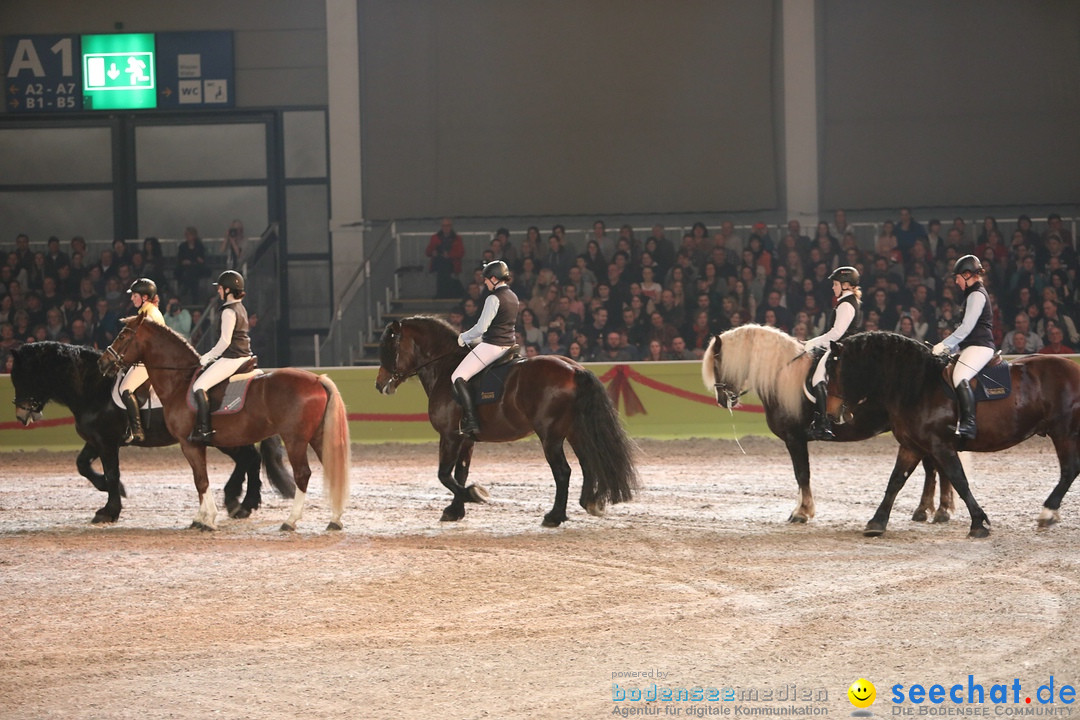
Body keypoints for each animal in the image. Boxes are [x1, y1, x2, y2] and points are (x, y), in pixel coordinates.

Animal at [10, 343, 295, 524]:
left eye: (22, 376)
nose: (21, 414)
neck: (93, 387)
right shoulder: (97, 441)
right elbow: (82, 465)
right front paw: (110, 490)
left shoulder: (106, 443)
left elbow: (112, 472)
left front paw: (109, 510)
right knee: (248, 459)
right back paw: (240, 501)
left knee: (249, 458)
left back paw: (240, 501)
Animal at [99, 317, 347, 533]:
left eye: (123, 335)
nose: (103, 362)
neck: (180, 382)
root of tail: (317, 379)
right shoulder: (197, 445)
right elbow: (200, 479)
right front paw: (200, 518)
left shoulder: (189, 444)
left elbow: (201, 480)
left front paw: (208, 519)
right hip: (317, 436)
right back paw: (334, 519)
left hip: (295, 439)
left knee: (302, 474)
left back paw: (290, 520)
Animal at [375, 317, 635, 526]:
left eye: (390, 347)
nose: (379, 384)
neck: (444, 368)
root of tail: (573, 369)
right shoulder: (466, 440)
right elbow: (460, 474)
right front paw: (455, 510)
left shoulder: (449, 436)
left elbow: (445, 475)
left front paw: (475, 494)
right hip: (574, 431)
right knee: (586, 462)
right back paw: (589, 502)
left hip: (550, 436)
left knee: (563, 472)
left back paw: (554, 516)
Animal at [699, 325, 954, 524]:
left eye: (717, 363)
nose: (722, 400)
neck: (782, 376)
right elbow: (800, 474)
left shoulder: (795, 439)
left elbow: (802, 473)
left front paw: (801, 513)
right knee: (933, 467)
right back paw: (929, 510)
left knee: (935, 467)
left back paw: (937, 510)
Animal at [829, 330, 1080, 535]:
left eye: (834, 372)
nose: (832, 414)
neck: (918, 386)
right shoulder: (911, 446)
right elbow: (896, 481)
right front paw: (877, 522)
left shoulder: (940, 446)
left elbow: (958, 479)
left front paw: (978, 523)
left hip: (1064, 433)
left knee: (1069, 470)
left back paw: (1047, 512)